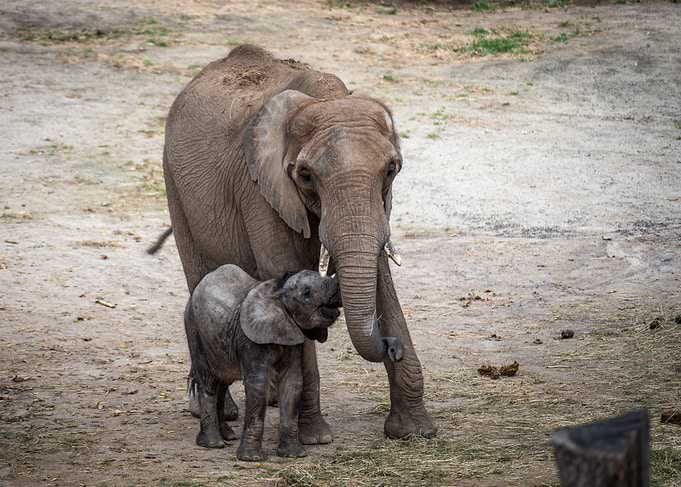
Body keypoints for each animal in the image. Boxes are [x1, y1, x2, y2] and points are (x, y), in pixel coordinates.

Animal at [185, 265, 349, 460]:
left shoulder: (292, 336)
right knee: (209, 380)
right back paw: (213, 444)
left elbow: (292, 384)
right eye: (307, 293)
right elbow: (258, 385)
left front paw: (293, 455)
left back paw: (228, 436)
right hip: (195, 331)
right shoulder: (250, 340)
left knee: (223, 380)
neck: (277, 293)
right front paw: (251, 458)